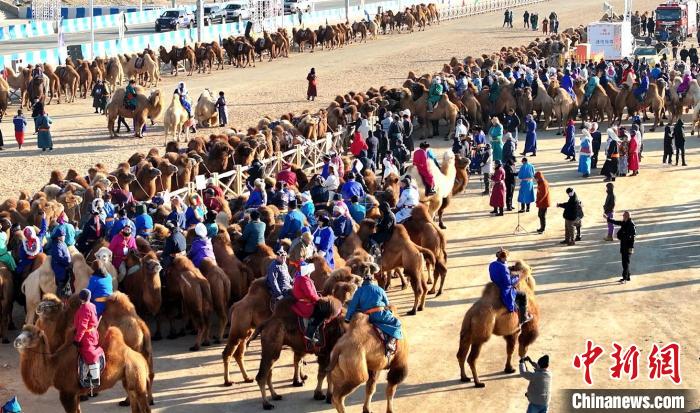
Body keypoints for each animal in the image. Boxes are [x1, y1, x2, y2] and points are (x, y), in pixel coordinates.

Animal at [15, 324, 152, 410]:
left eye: (31, 335)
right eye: (21, 332)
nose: (16, 341)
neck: (54, 367)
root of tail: (141, 359)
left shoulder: (67, 393)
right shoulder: (75, 394)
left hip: (138, 378)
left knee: (145, 408)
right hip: (129, 380)